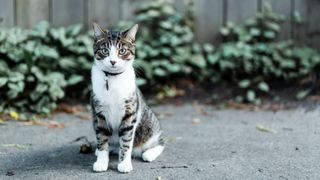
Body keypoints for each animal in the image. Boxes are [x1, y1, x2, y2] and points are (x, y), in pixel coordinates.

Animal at [90, 22, 164, 173]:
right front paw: (101, 161)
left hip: (150, 126)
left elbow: (126, 140)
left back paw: (149, 153)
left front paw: (124, 164)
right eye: (105, 51)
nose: (113, 61)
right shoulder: (99, 113)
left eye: (122, 51)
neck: (113, 79)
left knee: (159, 142)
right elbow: (102, 138)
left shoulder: (129, 112)